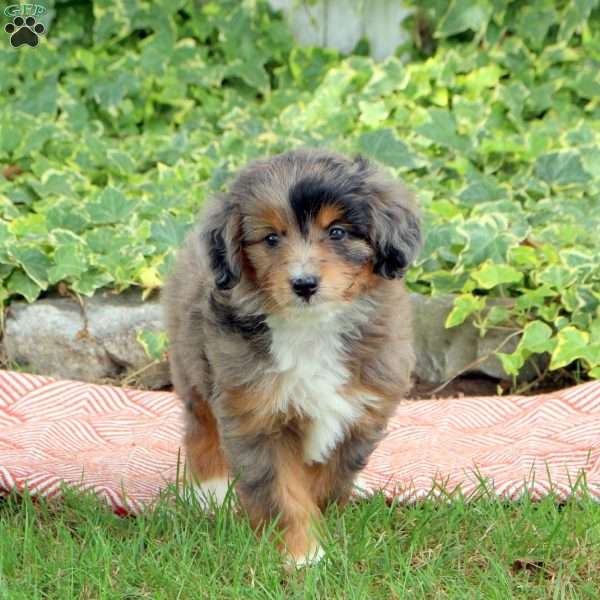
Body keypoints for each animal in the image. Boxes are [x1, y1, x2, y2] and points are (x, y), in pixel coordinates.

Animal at [162, 148, 420, 564]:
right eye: (271, 238)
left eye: (337, 232)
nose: (304, 284)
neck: (311, 329)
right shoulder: (255, 416)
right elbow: (283, 492)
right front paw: (302, 555)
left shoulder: (360, 413)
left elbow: (325, 479)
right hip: (192, 364)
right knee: (200, 425)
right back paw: (209, 491)